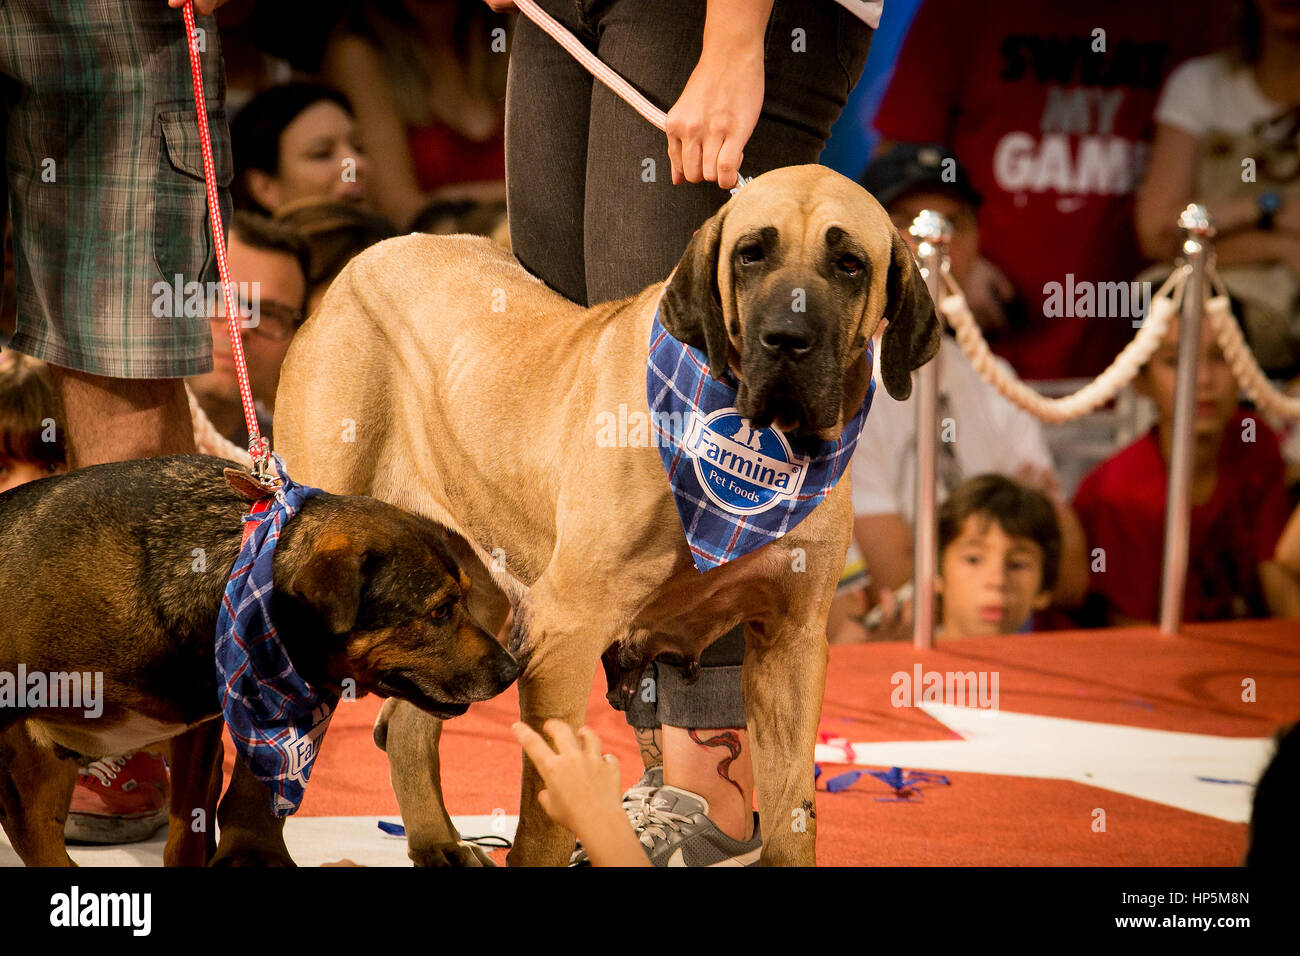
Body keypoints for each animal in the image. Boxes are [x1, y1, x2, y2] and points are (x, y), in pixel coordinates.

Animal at [0, 455, 517, 868]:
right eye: (439, 611)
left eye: (465, 597)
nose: (512, 670)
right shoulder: (20, 752)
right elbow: (45, 849)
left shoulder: (197, 737)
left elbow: (186, 839)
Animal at [274, 164, 935, 868]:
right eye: (752, 253)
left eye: (849, 264)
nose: (786, 339)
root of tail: (360, 264)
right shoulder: (564, 635)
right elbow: (545, 820)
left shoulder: (790, 646)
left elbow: (793, 814)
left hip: (459, 610)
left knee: (410, 721)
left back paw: (437, 841)